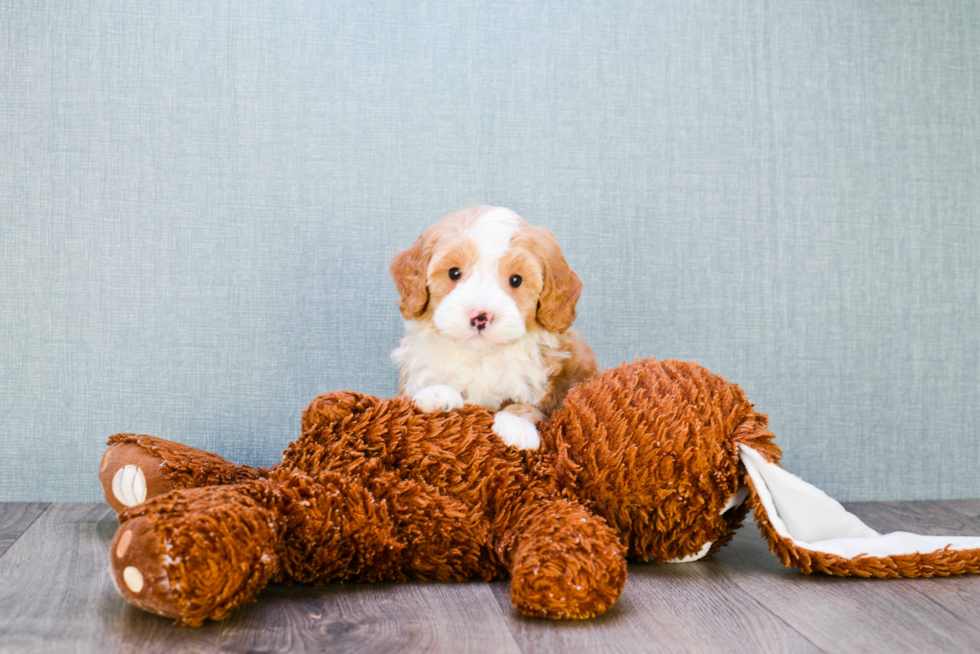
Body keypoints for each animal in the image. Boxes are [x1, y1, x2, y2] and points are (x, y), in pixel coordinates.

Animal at [390, 206, 596, 452]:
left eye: (516, 280)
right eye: (454, 273)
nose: (480, 316)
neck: (480, 356)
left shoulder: (548, 393)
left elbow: (531, 408)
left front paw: (516, 425)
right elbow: (409, 397)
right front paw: (436, 393)